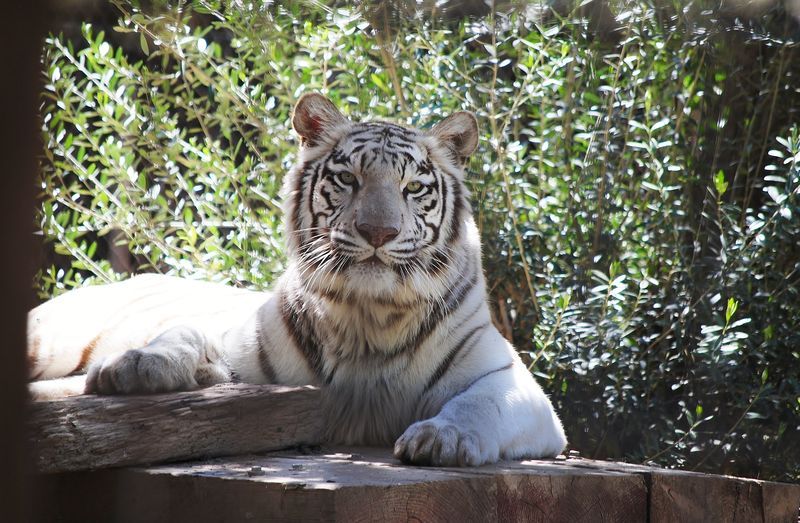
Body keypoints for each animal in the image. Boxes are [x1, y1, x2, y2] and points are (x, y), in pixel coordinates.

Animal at [27, 93, 567, 466]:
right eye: (348, 179)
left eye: (413, 188)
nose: (379, 232)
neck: (371, 317)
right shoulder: (241, 351)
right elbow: (185, 333)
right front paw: (135, 364)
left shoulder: (512, 382)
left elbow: (478, 406)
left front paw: (441, 438)